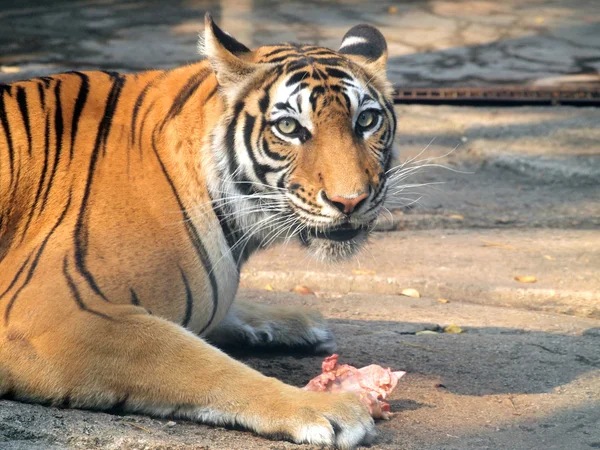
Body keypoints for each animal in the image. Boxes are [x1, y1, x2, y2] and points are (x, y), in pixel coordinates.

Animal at [0, 14, 398, 450]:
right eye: (289, 127)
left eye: (366, 121)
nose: (350, 201)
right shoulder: (44, 315)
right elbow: (195, 360)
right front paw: (323, 407)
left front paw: (293, 321)